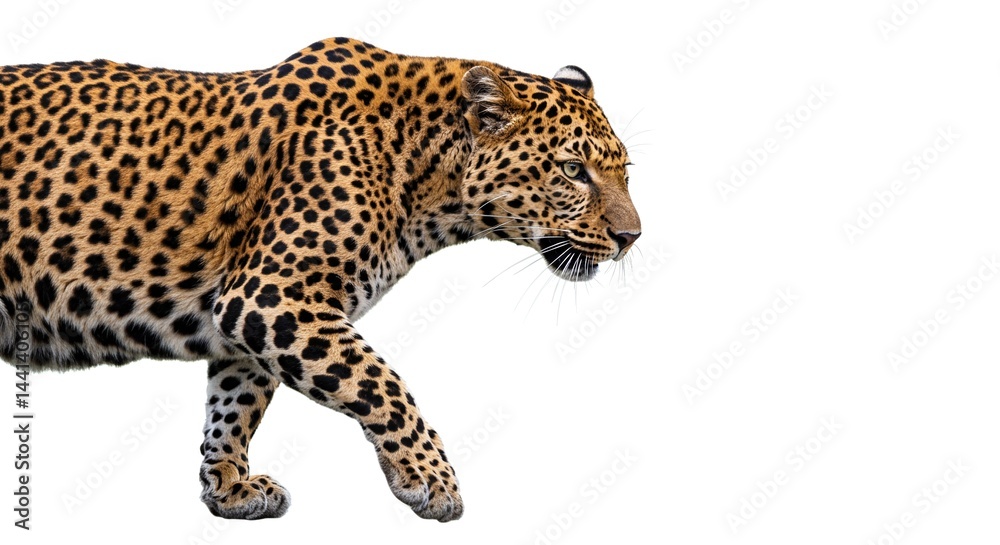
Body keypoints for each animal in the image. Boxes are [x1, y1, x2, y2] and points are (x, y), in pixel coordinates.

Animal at [0, 37, 641, 521]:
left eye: (624, 171)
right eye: (573, 170)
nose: (631, 237)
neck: (429, 181)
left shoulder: (249, 317)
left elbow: (236, 402)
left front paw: (228, 486)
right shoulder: (271, 295)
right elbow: (382, 382)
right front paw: (431, 479)